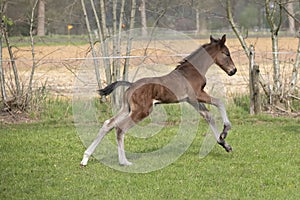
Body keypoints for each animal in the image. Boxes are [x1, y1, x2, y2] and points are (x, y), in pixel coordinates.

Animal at [79, 35, 237, 166]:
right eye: (226, 53)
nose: (233, 71)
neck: (192, 71)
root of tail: (131, 85)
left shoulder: (191, 100)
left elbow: (208, 115)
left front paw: (224, 143)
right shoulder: (197, 94)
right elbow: (220, 102)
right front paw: (225, 130)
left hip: (127, 109)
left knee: (108, 124)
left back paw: (85, 158)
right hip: (142, 111)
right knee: (120, 128)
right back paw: (124, 162)